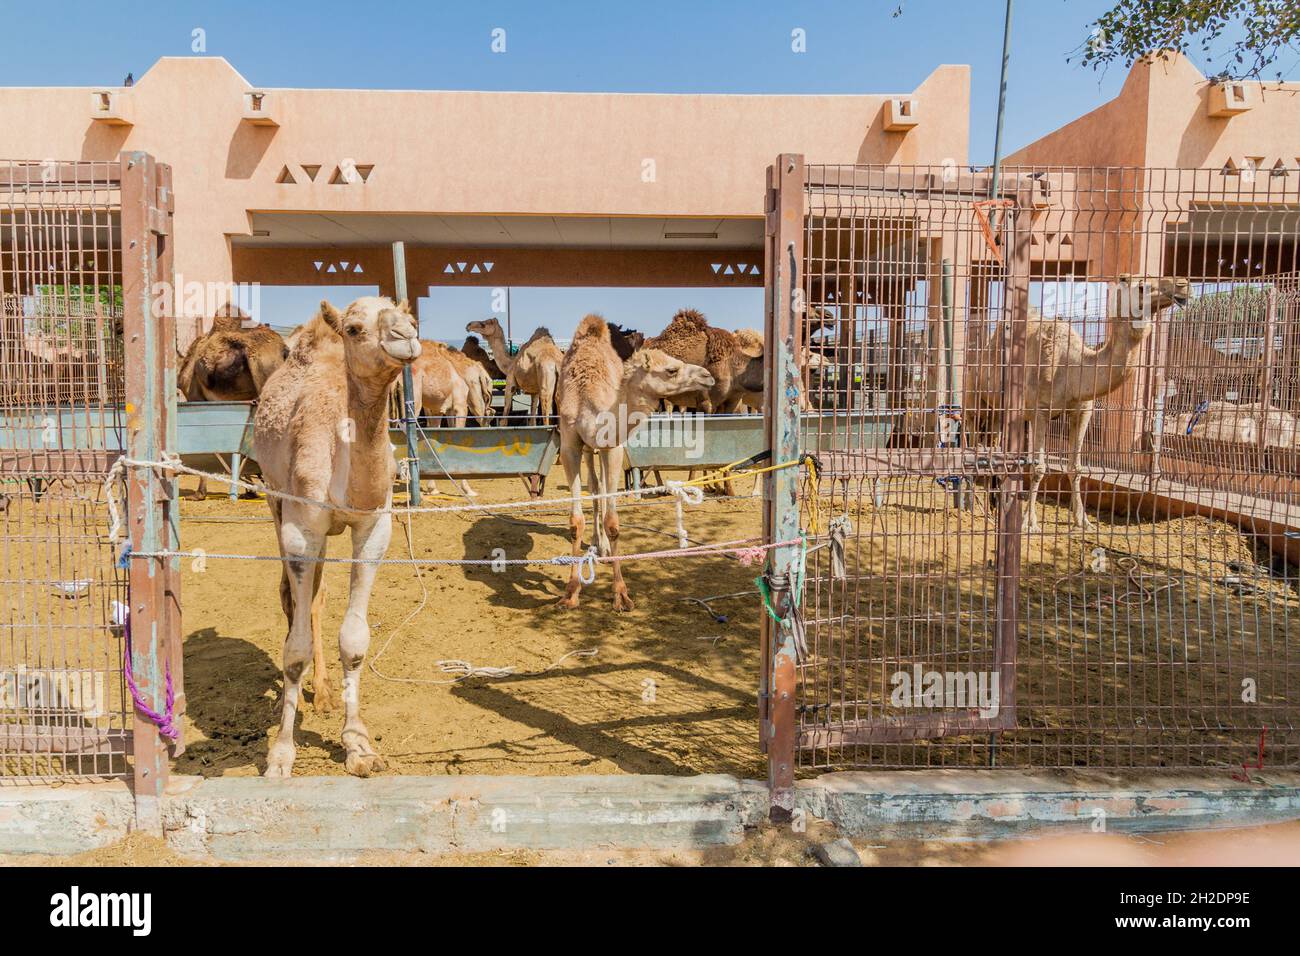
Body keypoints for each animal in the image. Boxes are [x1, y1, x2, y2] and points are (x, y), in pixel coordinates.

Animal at [250, 293, 418, 780]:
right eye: (356, 329)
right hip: (275, 500)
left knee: (317, 596)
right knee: (291, 595)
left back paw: (322, 692)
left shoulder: (374, 527)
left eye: (410, 318)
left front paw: (358, 745)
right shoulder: (301, 528)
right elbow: (294, 649)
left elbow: (355, 641)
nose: (407, 336)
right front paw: (280, 754)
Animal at [548, 316, 712, 613]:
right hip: (588, 449)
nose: (708, 376)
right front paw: (570, 593)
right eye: (672, 370)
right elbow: (576, 521)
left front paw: (621, 596)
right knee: (595, 487)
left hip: (601, 448)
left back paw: (601, 547)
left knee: (601, 489)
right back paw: (597, 544)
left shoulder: (612, 446)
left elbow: (613, 522)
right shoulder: (569, 446)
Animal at [961, 277, 1190, 535]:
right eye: (1141, 286)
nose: (1183, 284)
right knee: (972, 442)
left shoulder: (1083, 411)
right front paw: (1029, 522)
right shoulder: (1040, 410)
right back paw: (971, 504)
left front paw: (1083, 521)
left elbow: (1076, 467)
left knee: (993, 445)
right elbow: (1039, 468)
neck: (1071, 364)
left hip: (999, 412)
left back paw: (993, 505)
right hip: (974, 402)